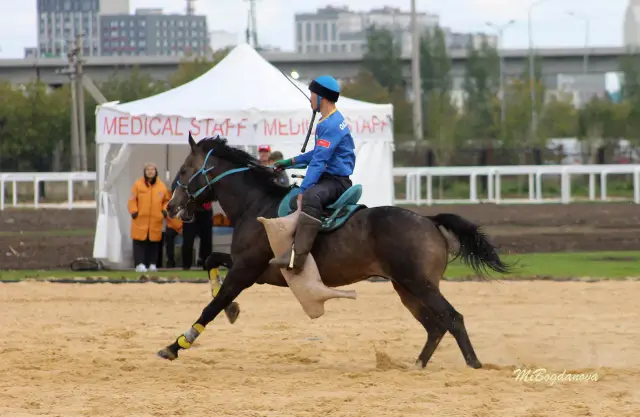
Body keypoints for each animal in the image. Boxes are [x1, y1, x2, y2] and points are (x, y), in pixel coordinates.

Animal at [159, 133, 510, 368]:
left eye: (185, 170)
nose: (170, 208)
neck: (256, 206)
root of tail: (428, 219)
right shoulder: (252, 268)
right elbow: (210, 260)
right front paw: (231, 310)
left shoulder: (246, 270)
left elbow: (212, 306)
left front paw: (177, 344)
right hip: (406, 288)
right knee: (435, 325)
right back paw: (418, 365)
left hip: (419, 284)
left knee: (452, 318)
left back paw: (474, 365)